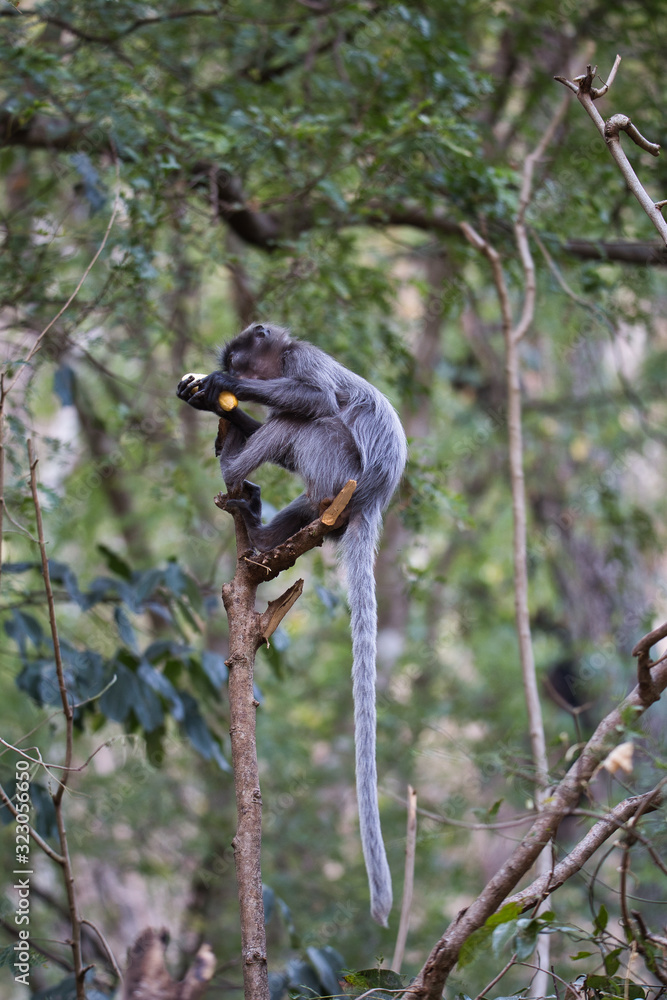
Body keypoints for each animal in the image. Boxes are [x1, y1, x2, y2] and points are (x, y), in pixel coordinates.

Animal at [177, 324, 408, 924]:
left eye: (242, 361)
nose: (240, 374)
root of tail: (367, 502)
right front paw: (214, 404)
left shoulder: (302, 359)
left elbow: (318, 400)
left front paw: (221, 388)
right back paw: (257, 531)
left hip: (335, 465)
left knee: (306, 422)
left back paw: (234, 472)